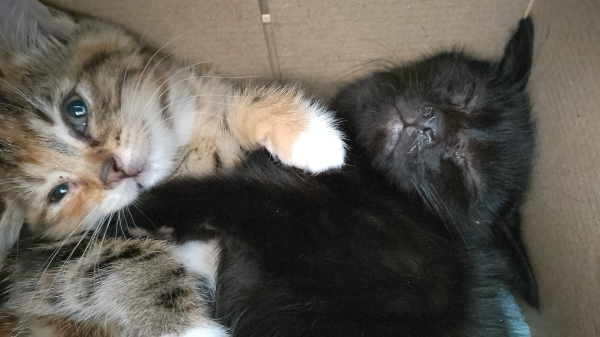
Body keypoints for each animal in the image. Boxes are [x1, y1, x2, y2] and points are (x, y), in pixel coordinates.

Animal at [125, 17, 536, 336]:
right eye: (465, 94)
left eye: (463, 166)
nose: (430, 127)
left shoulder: (313, 226)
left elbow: (246, 197)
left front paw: (144, 212)